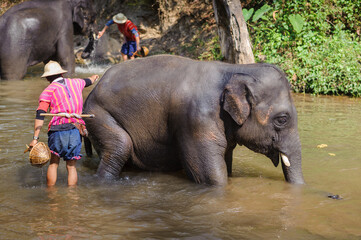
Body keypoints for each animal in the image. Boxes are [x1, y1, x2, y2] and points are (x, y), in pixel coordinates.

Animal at [83, 54, 306, 186]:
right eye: (282, 119)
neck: (233, 70)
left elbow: (226, 162)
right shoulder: (196, 121)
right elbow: (210, 177)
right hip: (98, 114)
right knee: (120, 146)